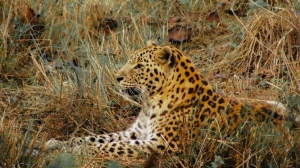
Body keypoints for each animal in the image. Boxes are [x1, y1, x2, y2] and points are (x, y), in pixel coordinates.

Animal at [44, 42, 288, 159]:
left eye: (138, 66)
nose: (117, 77)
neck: (149, 103)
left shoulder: (163, 143)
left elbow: (113, 145)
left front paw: (77, 151)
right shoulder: (134, 132)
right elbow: (98, 137)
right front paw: (58, 143)